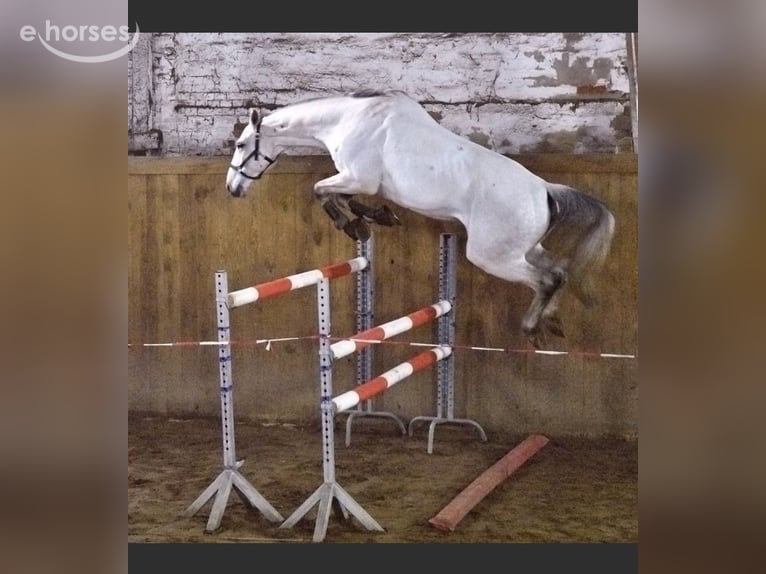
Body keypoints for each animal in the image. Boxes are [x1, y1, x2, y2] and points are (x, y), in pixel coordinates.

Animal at [225, 89, 615, 349]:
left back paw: (533, 328)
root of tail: (544, 190)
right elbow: (344, 197)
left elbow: (320, 190)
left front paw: (353, 225)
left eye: (242, 145)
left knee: (547, 279)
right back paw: (552, 322)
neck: (348, 120)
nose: (232, 188)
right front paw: (376, 217)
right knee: (560, 271)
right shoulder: (360, 182)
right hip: (524, 250)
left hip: (493, 257)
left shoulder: (358, 177)